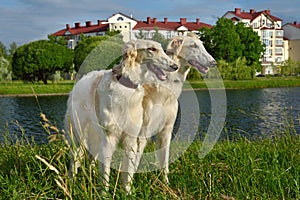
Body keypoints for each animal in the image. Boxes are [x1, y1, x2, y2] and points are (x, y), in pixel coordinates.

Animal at [65, 39, 178, 192]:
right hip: (79, 136)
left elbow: (128, 172)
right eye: (151, 49)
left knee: (91, 159)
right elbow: (106, 173)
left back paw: (91, 176)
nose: (175, 66)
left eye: (162, 49)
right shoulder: (109, 137)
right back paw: (72, 183)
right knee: (74, 161)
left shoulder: (131, 138)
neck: (127, 86)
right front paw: (104, 193)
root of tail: (80, 81)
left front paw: (127, 192)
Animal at [135, 33, 217, 184]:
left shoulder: (166, 130)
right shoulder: (142, 132)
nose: (214, 62)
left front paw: (166, 184)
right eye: (193, 45)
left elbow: (164, 163)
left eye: (202, 45)